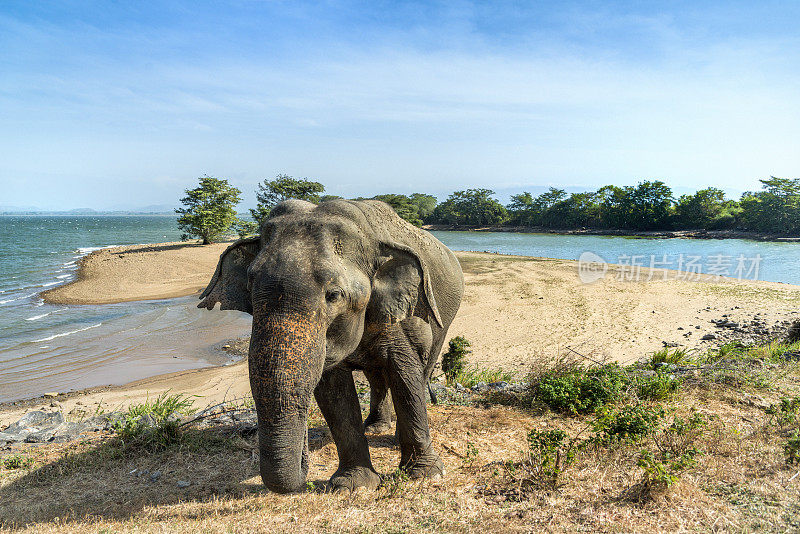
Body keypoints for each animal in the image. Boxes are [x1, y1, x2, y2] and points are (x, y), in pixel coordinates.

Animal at [196, 200, 466, 494]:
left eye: (334, 295)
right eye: (249, 285)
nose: (304, 462)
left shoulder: (395, 311)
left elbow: (404, 373)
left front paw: (425, 474)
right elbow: (333, 391)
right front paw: (354, 484)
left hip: (444, 318)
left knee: (422, 365)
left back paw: (391, 434)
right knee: (375, 375)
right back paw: (375, 428)